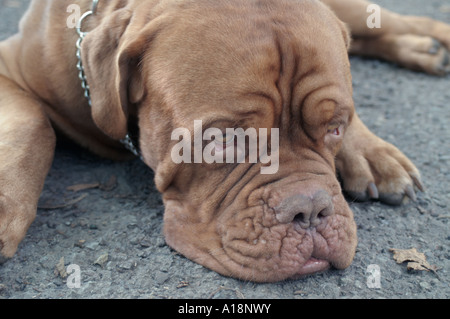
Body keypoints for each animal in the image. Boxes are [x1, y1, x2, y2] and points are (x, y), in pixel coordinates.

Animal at [0, 1, 448, 284]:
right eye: (222, 140)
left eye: (335, 128)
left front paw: (366, 148)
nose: (310, 211)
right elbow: (34, 125)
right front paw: (5, 206)